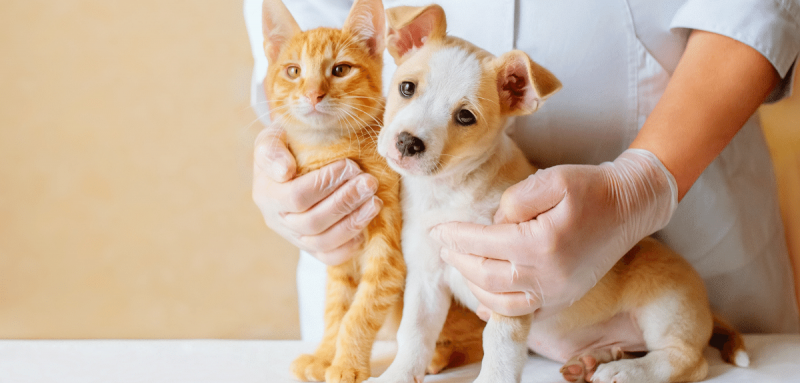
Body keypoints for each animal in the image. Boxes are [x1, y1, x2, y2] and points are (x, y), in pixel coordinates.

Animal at [264, 0, 406, 383]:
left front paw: (346, 364)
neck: (331, 148)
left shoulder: (389, 250)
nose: (313, 94)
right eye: (293, 71)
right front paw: (325, 354)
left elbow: (360, 311)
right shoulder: (340, 248)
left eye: (340, 69)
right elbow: (336, 307)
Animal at [372, 5, 748, 383]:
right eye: (407, 88)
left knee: (688, 360)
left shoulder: (510, 287)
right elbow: (414, 334)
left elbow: (498, 344)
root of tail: (707, 309)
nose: (407, 143)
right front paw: (398, 374)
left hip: (664, 308)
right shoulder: (426, 281)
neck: (448, 191)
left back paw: (626, 370)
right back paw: (593, 360)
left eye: (465, 116)